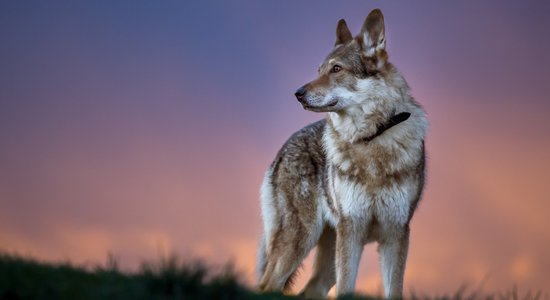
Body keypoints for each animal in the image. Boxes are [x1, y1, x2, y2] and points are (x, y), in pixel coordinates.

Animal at [256, 8, 430, 298]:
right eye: (318, 71)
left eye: (336, 69)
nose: (298, 94)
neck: (371, 139)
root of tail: (284, 147)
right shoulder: (352, 231)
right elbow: (347, 288)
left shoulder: (395, 234)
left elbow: (394, 290)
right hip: (301, 241)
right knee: (266, 285)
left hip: (325, 255)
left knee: (308, 290)